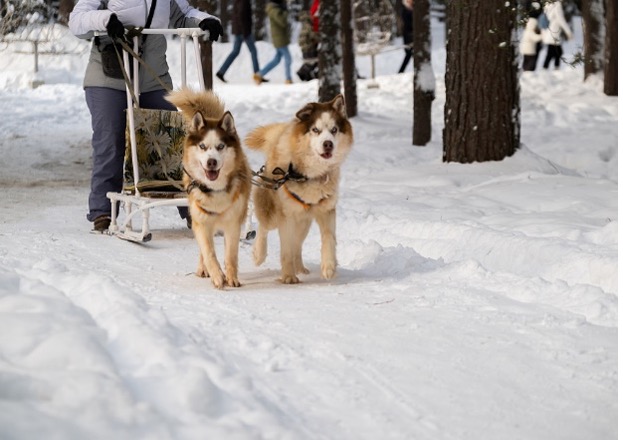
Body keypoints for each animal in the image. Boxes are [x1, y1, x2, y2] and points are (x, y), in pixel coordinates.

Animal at [167, 88, 252, 288]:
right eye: (202, 146)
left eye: (220, 146)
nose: (211, 162)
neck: (215, 190)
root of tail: (212, 117)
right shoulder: (202, 223)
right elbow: (209, 252)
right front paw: (217, 275)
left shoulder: (232, 224)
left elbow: (230, 255)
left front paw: (232, 277)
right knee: (203, 248)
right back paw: (203, 269)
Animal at [246, 94, 354, 284]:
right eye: (316, 130)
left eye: (334, 130)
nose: (328, 144)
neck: (310, 174)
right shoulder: (286, 217)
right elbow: (286, 249)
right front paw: (288, 276)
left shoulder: (327, 210)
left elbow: (329, 238)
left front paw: (329, 266)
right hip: (272, 214)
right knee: (264, 228)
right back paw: (259, 254)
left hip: (304, 222)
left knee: (297, 244)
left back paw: (301, 268)